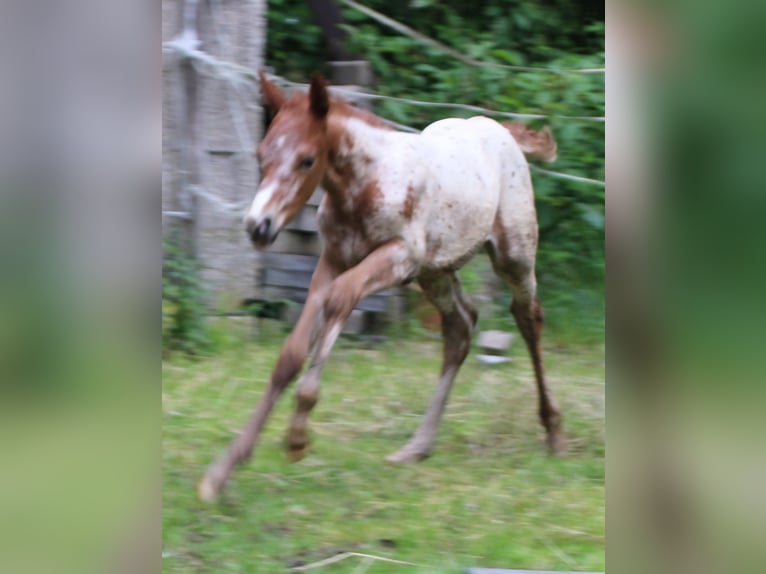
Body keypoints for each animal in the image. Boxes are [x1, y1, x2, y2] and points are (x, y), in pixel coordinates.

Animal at [201, 73, 568, 504]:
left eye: (307, 159)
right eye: (261, 156)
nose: (259, 226)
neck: (362, 186)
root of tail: (498, 129)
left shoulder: (399, 256)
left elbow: (341, 299)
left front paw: (298, 434)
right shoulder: (333, 260)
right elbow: (290, 354)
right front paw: (222, 471)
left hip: (512, 255)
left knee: (528, 317)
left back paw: (554, 431)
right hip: (435, 271)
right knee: (461, 327)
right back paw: (417, 447)